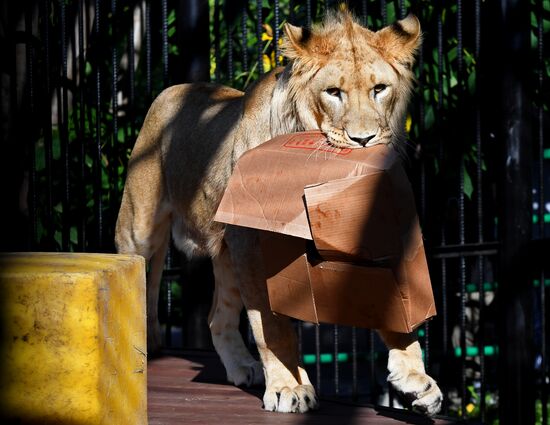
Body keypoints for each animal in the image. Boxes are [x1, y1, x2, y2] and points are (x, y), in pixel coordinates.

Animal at [115, 9, 444, 414]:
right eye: (333, 93)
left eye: (379, 89)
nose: (363, 139)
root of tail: (173, 89)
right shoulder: (252, 242)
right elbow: (271, 323)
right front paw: (289, 387)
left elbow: (392, 302)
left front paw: (416, 380)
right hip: (140, 233)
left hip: (226, 257)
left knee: (217, 318)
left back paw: (243, 367)